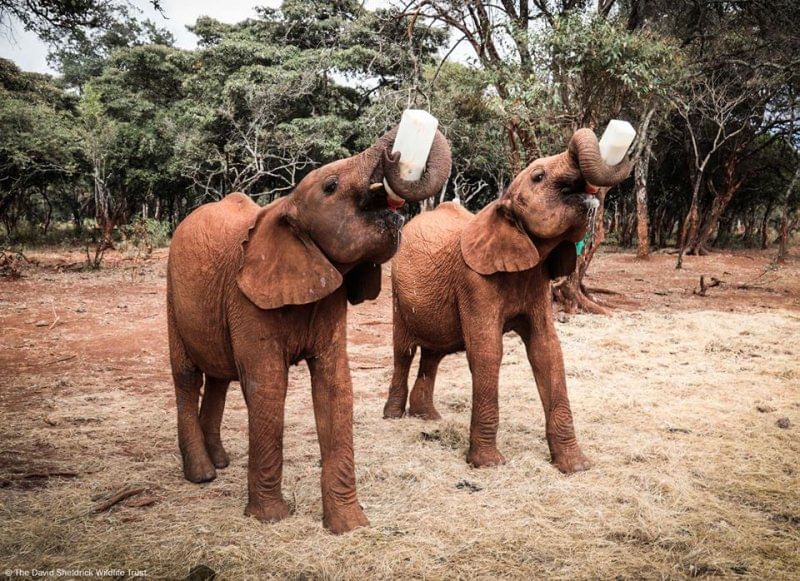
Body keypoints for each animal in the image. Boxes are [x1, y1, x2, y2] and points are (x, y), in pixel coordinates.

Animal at [166, 125, 452, 534]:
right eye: (331, 186)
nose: (396, 155)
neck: (285, 207)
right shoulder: (246, 297)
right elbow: (268, 386)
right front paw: (270, 517)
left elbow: (335, 386)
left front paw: (349, 525)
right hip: (172, 292)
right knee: (188, 376)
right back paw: (203, 474)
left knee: (219, 377)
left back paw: (220, 462)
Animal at [383, 128, 633, 473]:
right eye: (539, 176)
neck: (502, 206)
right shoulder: (474, 281)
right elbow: (487, 352)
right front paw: (488, 464)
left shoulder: (537, 283)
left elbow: (547, 350)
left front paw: (575, 466)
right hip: (396, 290)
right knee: (404, 351)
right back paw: (394, 417)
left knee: (434, 353)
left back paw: (429, 418)